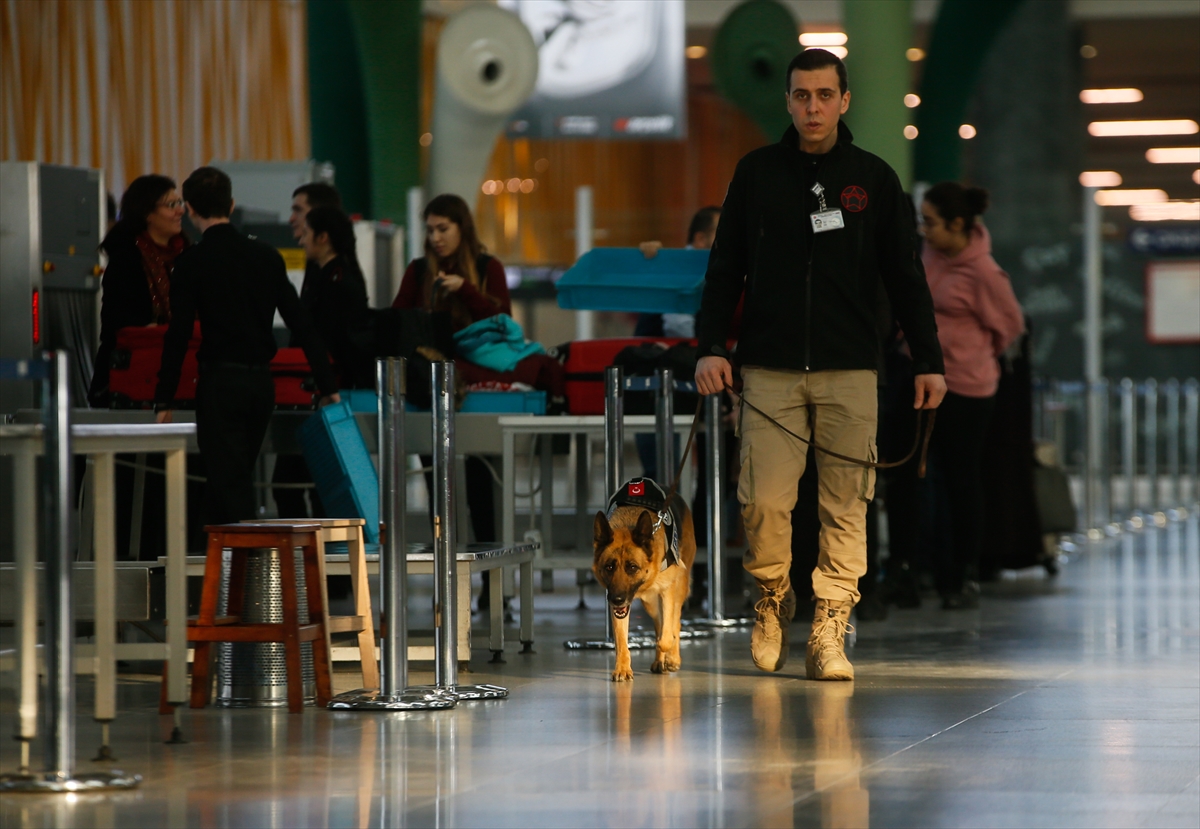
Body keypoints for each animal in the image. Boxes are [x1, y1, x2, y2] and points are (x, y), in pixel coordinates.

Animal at [590, 482, 696, 676]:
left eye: (632, 567)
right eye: (609, 567)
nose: (617, 600)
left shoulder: (667, 591)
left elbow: (666, 636)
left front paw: (669, 654)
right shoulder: (620, 607)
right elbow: (621, 640)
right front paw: (623, 669)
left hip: (678, 589)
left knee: (674, 622)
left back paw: (672, 658)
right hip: (651, 605)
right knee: (659, 623)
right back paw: (660, 661)